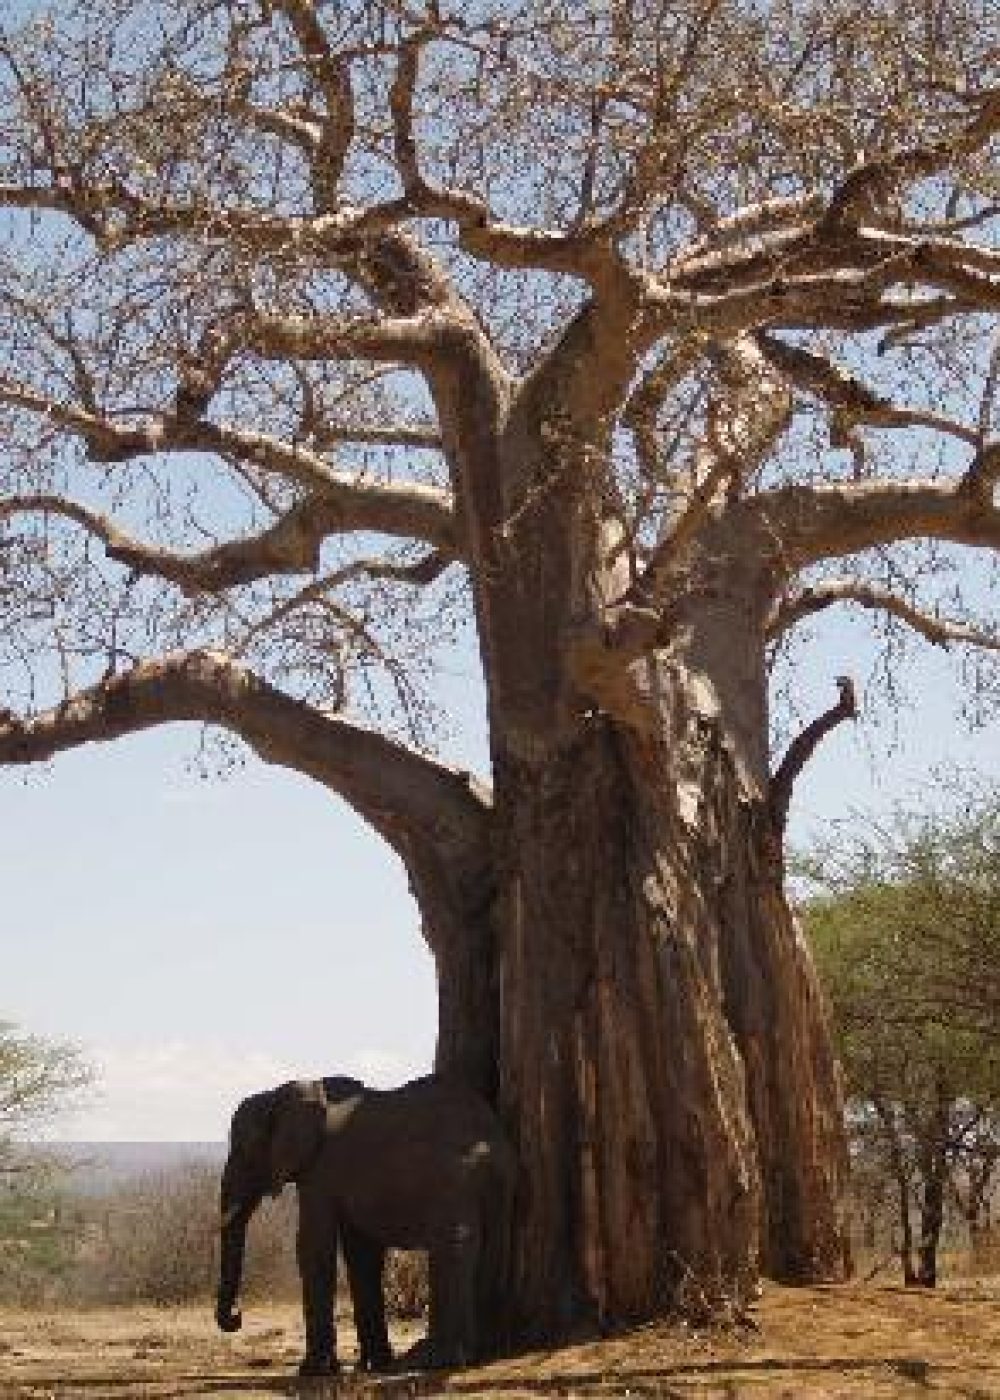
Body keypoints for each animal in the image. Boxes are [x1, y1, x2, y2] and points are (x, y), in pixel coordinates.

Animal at [215, 1075, 518, 1372]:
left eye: (243, 1150)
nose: (237, 1316)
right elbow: (361, 1255)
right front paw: (372, 1364)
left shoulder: (321, 1173)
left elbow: (313, 1248)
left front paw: (313, 1370)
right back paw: (470, 1355)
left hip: (455, 1181)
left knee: (451, 1249)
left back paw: (429, 1359)